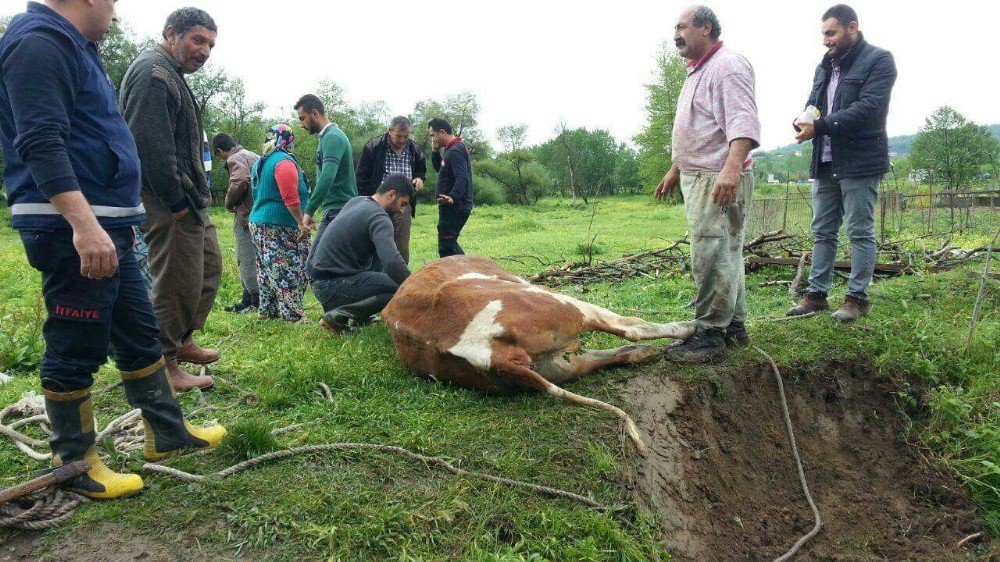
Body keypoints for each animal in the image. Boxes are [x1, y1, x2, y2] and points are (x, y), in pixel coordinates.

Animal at [382, 256, 696, 452]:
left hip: (557, 366)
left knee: (602, 355)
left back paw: (644, 353)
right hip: (566, 304)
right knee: (633, 327)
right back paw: (688, 328)